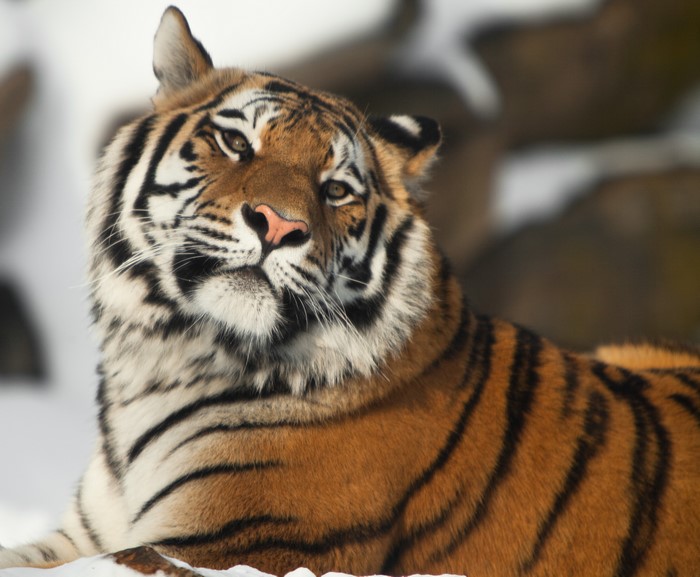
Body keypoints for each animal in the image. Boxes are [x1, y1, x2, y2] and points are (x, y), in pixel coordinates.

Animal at [1, 6, 698, 577]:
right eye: (236, 141)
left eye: (335, 189)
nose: (277, 224)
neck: (163, 360)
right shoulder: (89, 531)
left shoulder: (239, 542)